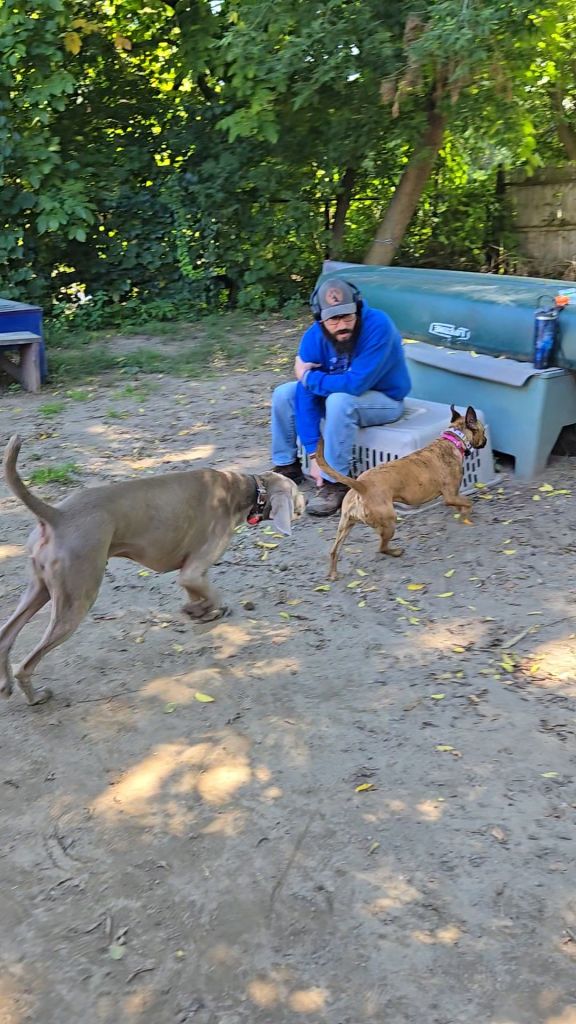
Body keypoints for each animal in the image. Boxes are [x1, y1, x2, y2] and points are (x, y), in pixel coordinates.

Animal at [0, 435, 305, 706]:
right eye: (297, 491)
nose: (308, 503)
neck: (246, 489)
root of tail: (57, 515)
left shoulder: (192, 574)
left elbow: (198, 595)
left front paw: (197, 611)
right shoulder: (193, 570)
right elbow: (214, 596)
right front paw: (207, 611)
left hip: (40, 588)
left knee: (5, 636)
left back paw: (6, 687)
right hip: (76, 596)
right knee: (27, 663)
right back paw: (36, 698)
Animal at [315, 405, 487, 579]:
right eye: (483, 431)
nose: (486, 440)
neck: (454, 439)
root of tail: (361, 485)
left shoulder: (453, 496)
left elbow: (461, 503)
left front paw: (462, 512)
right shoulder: (451, 496)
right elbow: (467, 502)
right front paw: (466, 514)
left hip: (345, 525)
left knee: (334, 551)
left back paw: (333, 573)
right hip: (389, 522)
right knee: (381, 547)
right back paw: (396, 552)